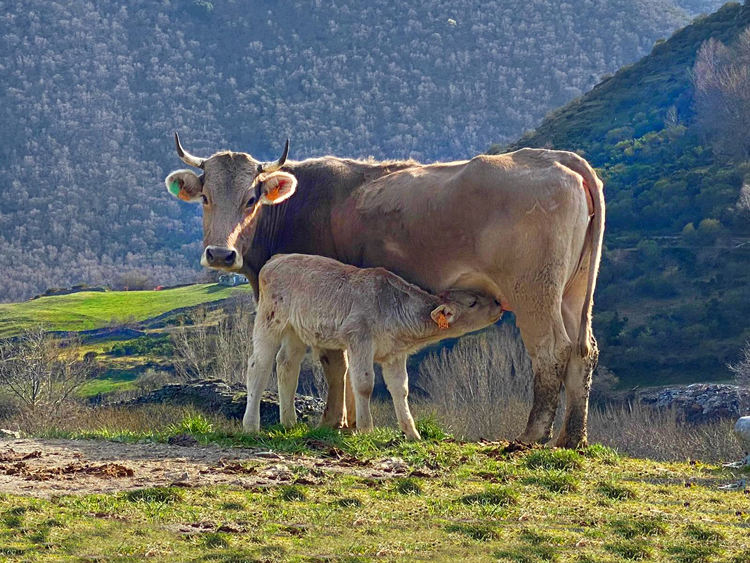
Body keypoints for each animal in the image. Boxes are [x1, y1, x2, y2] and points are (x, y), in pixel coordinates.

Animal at [166, 134, 604, 448]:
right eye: (205, 198)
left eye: (252, 198)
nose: (221, 254)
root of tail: (555, 158)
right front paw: (345, 421)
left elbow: (333, 363)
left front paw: (334, 422)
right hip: (574, 293)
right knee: (583, 351)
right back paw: (571, 439)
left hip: (534, 292)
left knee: (551, 351)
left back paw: (532, 436)